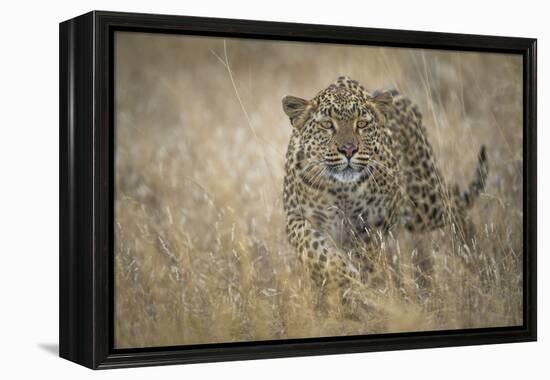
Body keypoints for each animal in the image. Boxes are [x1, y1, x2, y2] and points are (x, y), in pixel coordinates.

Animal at [282, 76, 490, 306]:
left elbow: (368, 255)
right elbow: (314, 251)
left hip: (424, 202)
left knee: (454, 201)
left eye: (362, 124)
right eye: (327, 124)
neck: (340, 189)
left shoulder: (375, 220)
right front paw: (346, 277)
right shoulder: (297, 216)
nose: (348, 150)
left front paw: (365, 284)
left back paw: (470, 250)